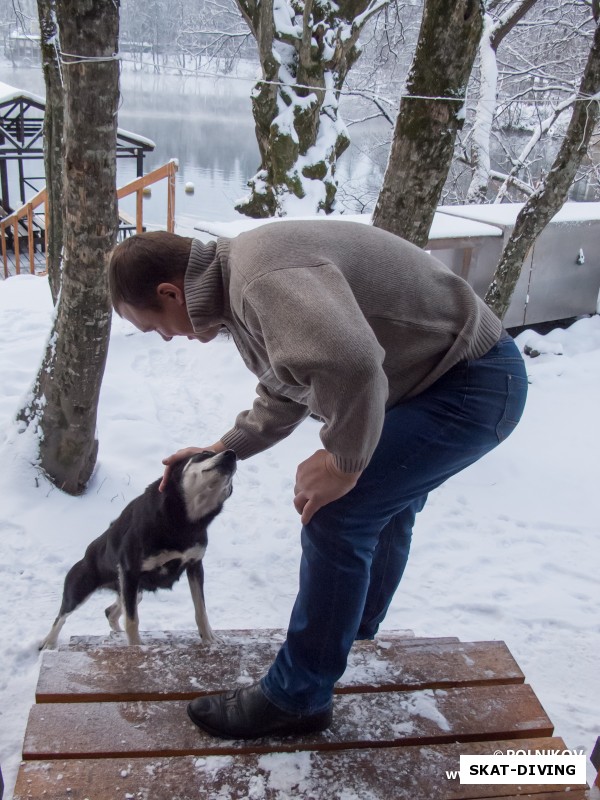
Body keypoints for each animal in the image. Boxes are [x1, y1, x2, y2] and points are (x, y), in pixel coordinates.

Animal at [39, 450, 237, 648]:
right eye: (204, 453)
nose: (231, 454)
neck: (185, 522)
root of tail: (86, 554)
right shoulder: (130, 570)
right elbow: (132, 621)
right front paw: (136, 648)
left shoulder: (195, 565)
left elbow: (201, 609)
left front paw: (209, 638)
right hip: (82, 589)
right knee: (61, 616)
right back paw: (48, 642)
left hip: (133, 591)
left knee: (109, 612)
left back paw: (116, 634)